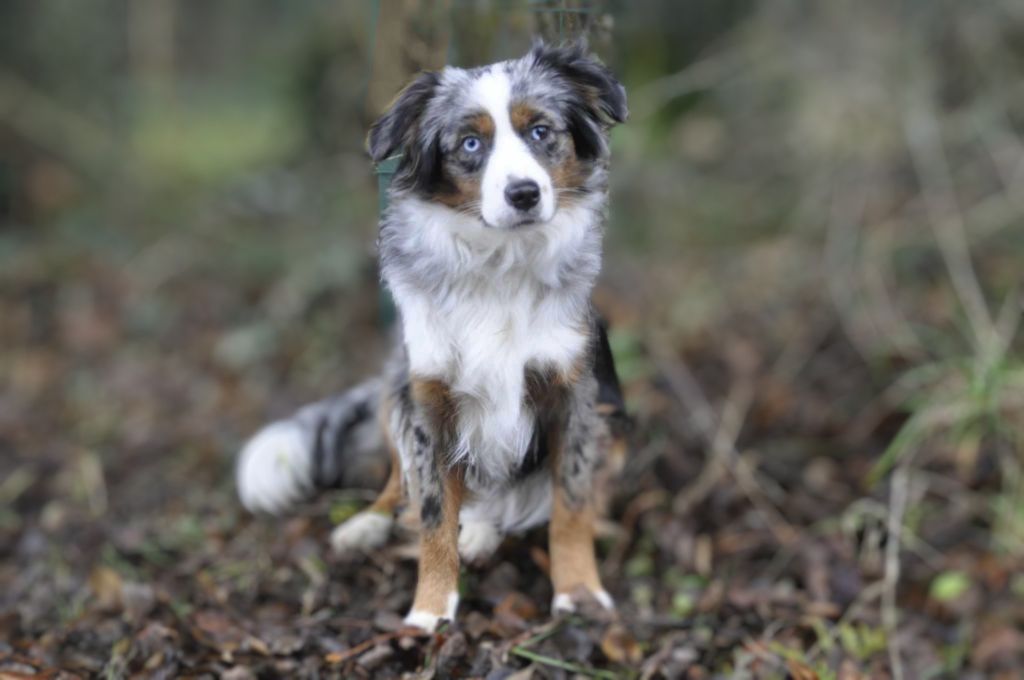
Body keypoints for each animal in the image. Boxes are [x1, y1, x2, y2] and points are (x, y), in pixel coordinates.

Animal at [235, 43, 626, 630]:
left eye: (540, 131)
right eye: (470, 143)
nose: (525, 193)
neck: (499, 267)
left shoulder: (576, 397)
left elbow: (571, 506)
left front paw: (578, 590)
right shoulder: (429, 401)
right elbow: (433, 517)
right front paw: (429, 611)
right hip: (395, 389)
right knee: (400, 481)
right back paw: (370, 525)